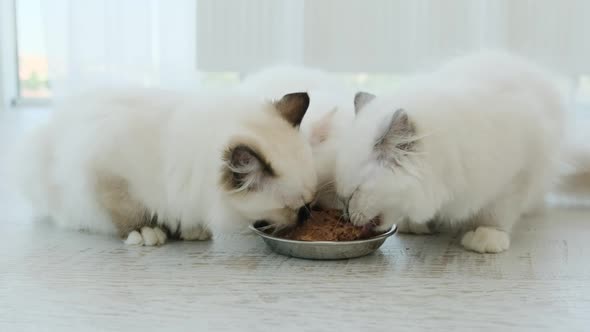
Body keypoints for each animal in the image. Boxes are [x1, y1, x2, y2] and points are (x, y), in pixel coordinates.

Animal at [20, 87, 320, 245]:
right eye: (295, 208)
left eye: (310, 203)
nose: (307, 216)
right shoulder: (107, 171)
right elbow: (131, 211)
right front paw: (146, 233)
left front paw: (189, 231)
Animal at [336, 52, 588, 253]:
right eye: (341, 197)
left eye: (354, 194)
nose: (346, 215)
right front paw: (417, 224)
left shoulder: (517, 174)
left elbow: (495, 213)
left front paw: (485, 237)